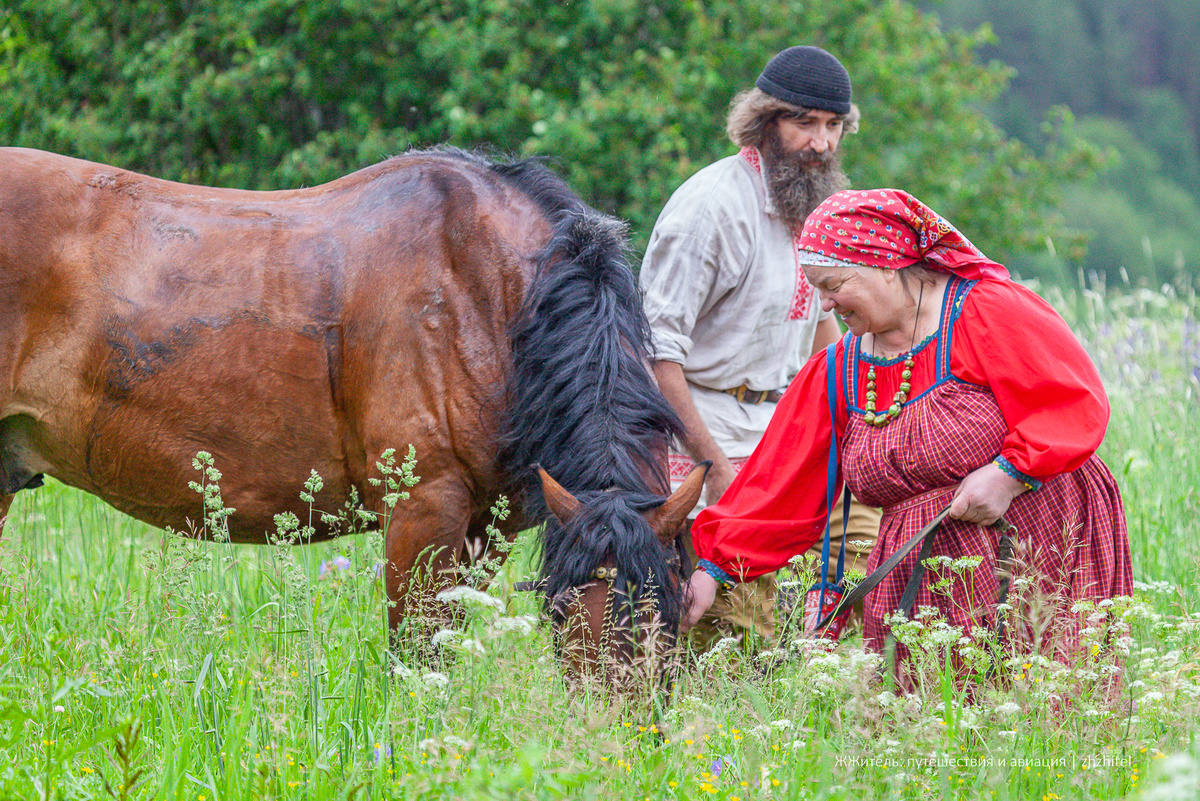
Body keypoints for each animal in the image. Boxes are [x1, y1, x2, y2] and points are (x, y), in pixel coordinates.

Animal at [0, 145, 705, 681]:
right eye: (559, 611)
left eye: (668, 608)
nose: (616, 734)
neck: (487, 292)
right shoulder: (423, 510)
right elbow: (416, 658)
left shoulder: (489, 528)